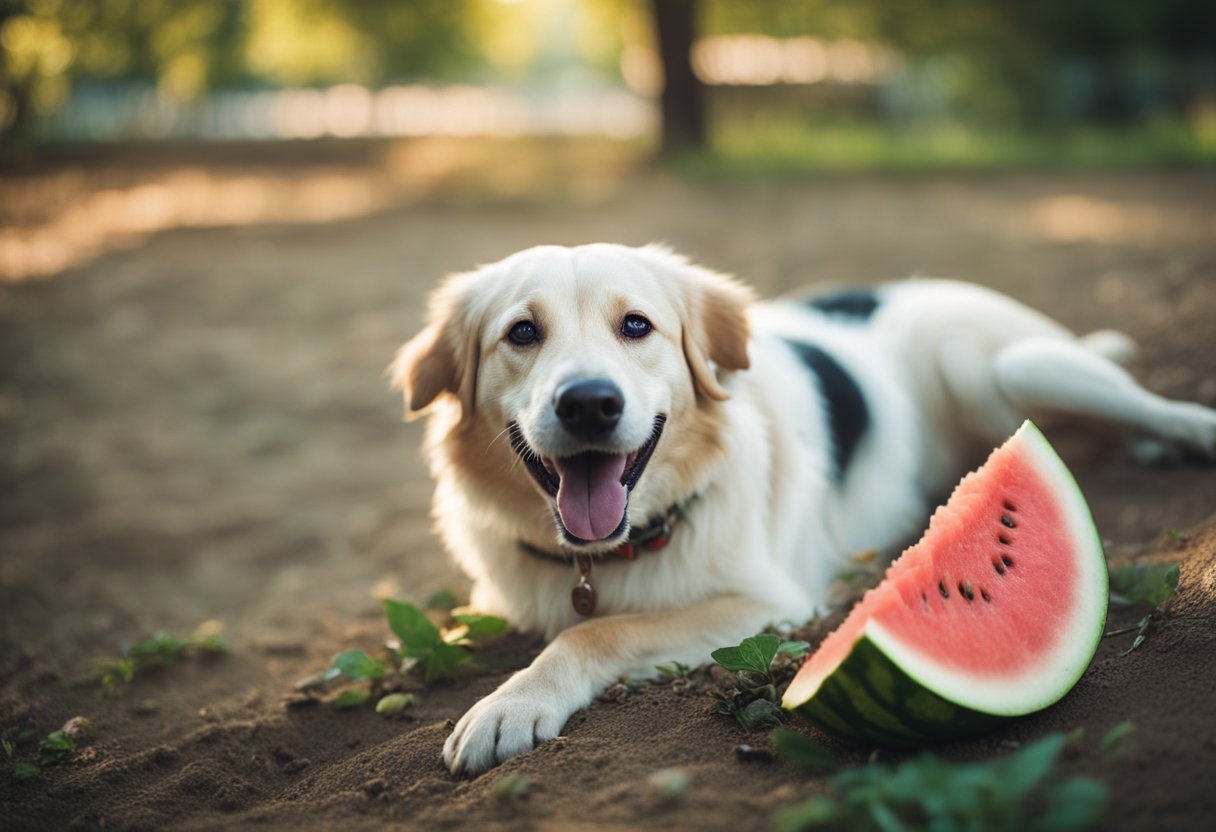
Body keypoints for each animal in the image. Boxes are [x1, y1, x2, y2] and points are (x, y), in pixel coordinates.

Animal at [391, 243, 1216, 778]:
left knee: (1148, 407)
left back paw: (1183, 433)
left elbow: (598, 633)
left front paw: (514, 701)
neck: (601, 557)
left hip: (1020, 368)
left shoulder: (767, 602)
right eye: (522, 333)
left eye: (636, 326)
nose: (590, 403)